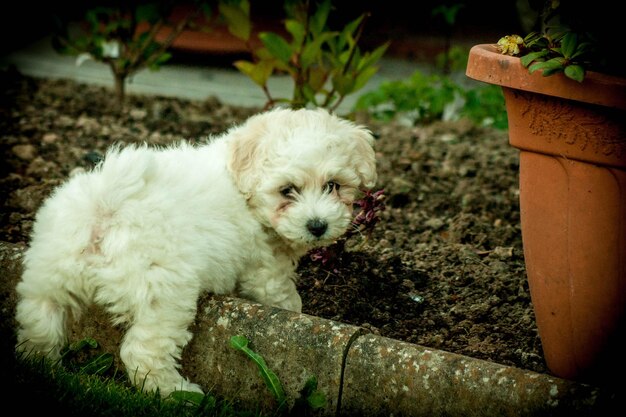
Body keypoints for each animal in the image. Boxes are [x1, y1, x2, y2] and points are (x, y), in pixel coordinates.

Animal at [13, 105, 376, 394]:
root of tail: (105, 207)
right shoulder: (263, 266)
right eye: (287, 191)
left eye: (333, 186)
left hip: (50, 271)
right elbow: (282, 294)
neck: (240, 182)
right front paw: (298, 314)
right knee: (144, 352)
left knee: (39, 321)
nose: (318, 225)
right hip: (163, 293)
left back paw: (43, 369)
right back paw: (178, 394)